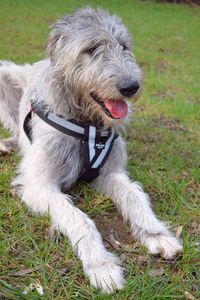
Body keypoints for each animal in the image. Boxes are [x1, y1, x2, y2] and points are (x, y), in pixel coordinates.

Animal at [0, 7, 182, 296]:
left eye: (124, 46)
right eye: (91, 48)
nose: (131, 87)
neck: (88, 123)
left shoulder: (111, 173)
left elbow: (135, 196)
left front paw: (157, 235)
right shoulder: (39, 186)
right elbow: (78, 217)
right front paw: (100, 264)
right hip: (5, 74)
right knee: (19, 131)